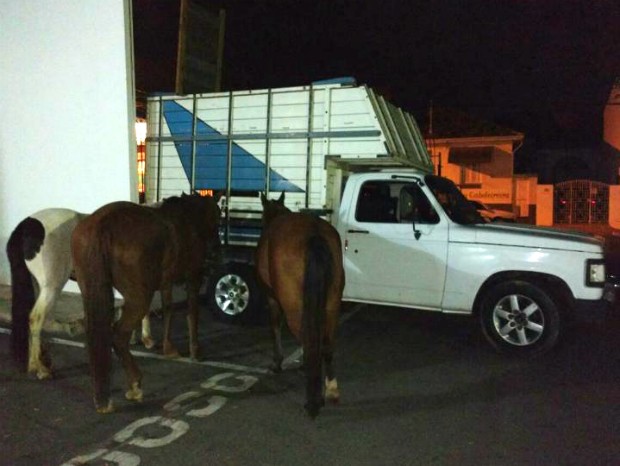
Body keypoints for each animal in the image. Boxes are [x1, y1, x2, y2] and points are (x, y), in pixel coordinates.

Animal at [6, 209, 155, 380]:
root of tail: (28, 225)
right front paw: (146, 339)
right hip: (51, 287)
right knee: (36, 318)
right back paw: (40, 369)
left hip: (37, 286)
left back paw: (36, 362)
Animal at [71, 195, 220, 414]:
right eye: (218, 216)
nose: (217, 250)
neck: (188, 219)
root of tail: (102, 225)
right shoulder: (193, 277)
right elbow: (192, 313)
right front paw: (195, 351)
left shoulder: (166, 283)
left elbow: (168, 309)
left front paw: (168, 348)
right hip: (139, 297)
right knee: (119, 337)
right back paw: (134, 385)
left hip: (91, 292)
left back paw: (102, 397)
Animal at [256, 191, 344, 416]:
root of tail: (314, 233)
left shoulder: (272, 298)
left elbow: (275, 326)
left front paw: (277, 362)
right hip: (332, 304)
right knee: (326, 343)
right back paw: (331, 389)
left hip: (294, 307)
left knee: (309, 340)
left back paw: (313, 399)